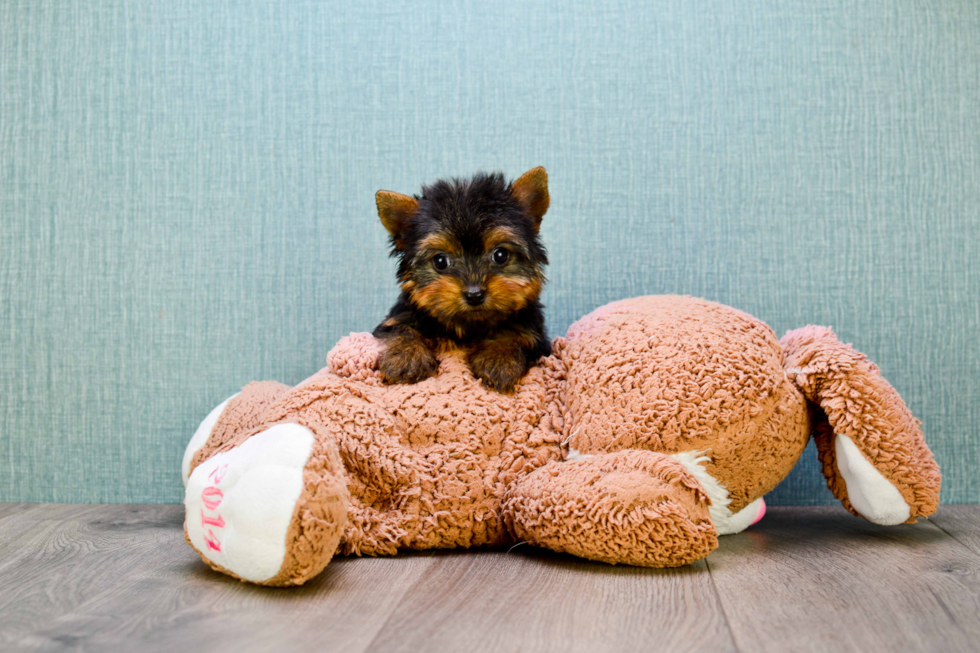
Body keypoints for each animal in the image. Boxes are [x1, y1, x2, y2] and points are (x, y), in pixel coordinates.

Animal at [372, 168, 552, 392]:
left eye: (501, 255)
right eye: (440, 261)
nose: (474, 294)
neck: (469, 327)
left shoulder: (535, 332)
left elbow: (516, 334)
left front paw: (499, 358)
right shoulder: (401, 316)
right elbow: (401, 328)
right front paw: (405, 357)